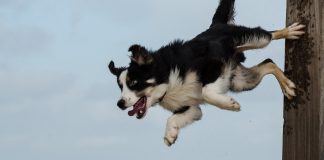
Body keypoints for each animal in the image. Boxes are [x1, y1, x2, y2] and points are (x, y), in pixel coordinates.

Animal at [107, 0, 306, 146]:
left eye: (134, 83)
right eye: (120, 87)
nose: (119, 103)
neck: (168, 79)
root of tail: (216, 25)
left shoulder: (214, 64)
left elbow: (206, 91)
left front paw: (229, 104)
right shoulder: (191, 108)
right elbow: (175, 118)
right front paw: (170, 134)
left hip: (251, 40)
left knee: (268, 34)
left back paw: (290, 31)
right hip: (241, 81)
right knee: (268, 63)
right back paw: (287, 87)